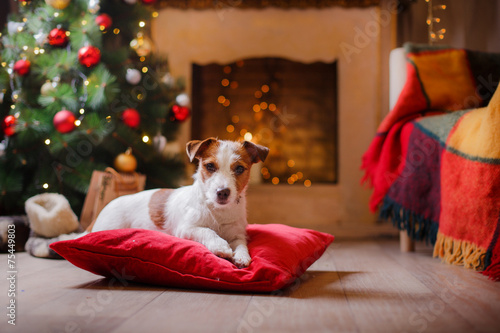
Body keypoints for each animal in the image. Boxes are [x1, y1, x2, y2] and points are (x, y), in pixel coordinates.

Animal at [90, 137, 270, 268]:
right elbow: (207, 231)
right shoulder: (186, 229)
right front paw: (220, 246)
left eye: (239, 169)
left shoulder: (237, 234)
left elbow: (241, 245)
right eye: (210, 166)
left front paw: (242, 256)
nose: (222, 192)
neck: (218, 212)